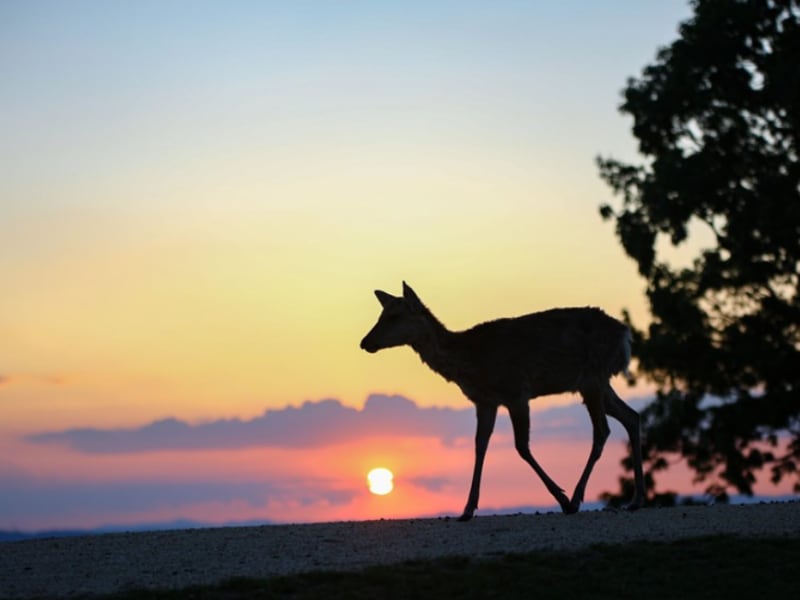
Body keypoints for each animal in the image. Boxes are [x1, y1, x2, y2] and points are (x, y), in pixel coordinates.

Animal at [360, 282, 648, 520]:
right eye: (380, 315)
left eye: (394, 316)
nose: (365, 342)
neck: (469, 362)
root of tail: (625, 335)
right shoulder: (485, 401)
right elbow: (480, 446)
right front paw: (467, 510)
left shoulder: (516, 392)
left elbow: (521, 447)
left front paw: (562, 499)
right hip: (598, 383)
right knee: (632, 417)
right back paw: (637, 500)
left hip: (592, 378)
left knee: (602, 430)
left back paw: (577, 498)